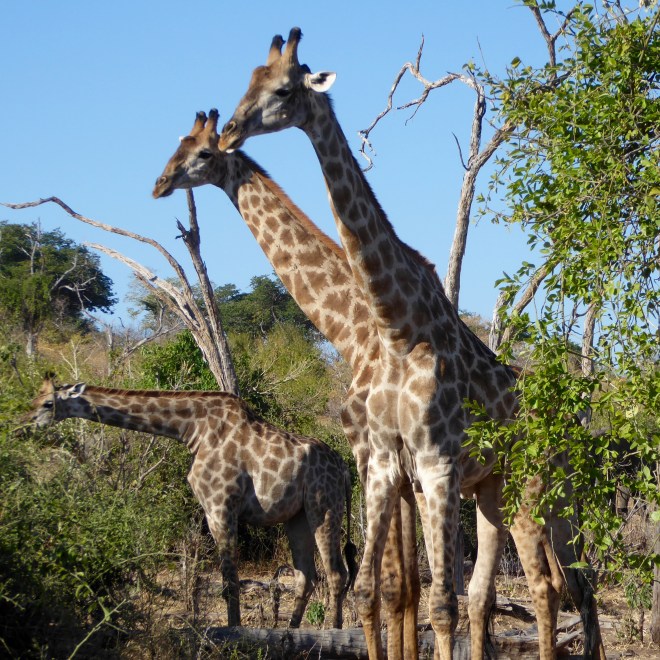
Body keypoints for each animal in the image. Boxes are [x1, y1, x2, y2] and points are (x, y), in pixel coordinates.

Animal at [28, 375, 358, 629]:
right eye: (35, 399)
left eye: (47, 404)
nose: (25, 424)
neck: (193, 430)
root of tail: (344, 469)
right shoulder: (214, 510)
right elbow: (230, 580)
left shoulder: (220, 506)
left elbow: (229, 580)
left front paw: (234, 631)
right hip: (297, 517)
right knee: (307, 576)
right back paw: (291, 631)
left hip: (324, 507)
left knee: (336, 573)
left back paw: (333, 630)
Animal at [153, 108, 421, 659]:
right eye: (177, 144)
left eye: (202, 152)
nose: (160, 183)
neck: (353, 329)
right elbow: (402, 577)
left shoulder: (372, 446)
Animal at [219, 28, 603, 660]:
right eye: (246, 81)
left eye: (282, 90)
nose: (228, 132)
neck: (397, 329)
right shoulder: (385, 462)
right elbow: (386, 585)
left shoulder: (433, 461)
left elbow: (436, 599)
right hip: (496, 489)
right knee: (540, 585)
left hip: (537, 489)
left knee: (555, 584)